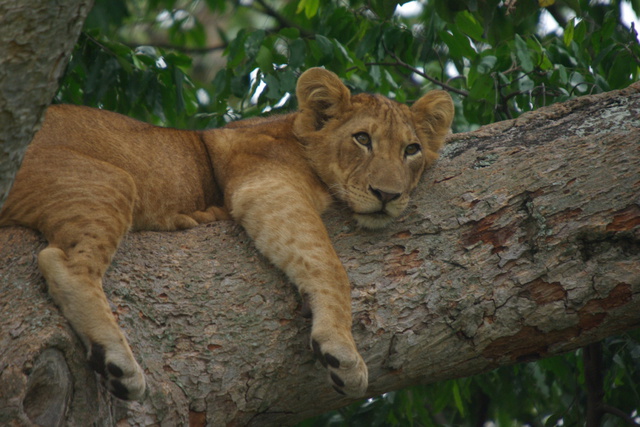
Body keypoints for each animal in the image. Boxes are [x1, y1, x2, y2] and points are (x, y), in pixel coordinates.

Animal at [0, 68, 454, 400]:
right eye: (362, 139)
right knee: (64, 263)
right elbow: (328, 263)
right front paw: (341, 350)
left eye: (411, 150)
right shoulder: (266, 184)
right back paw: (117, 362)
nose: (387, 195)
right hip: (109, 180)